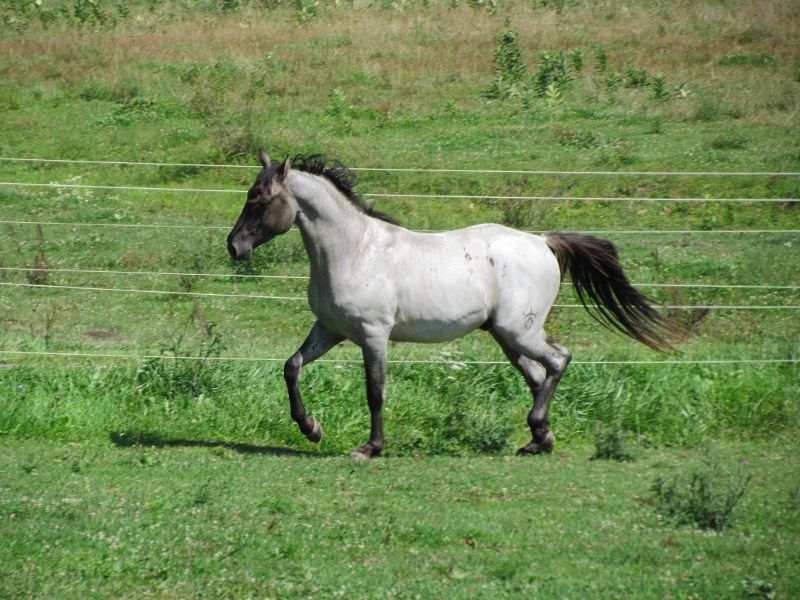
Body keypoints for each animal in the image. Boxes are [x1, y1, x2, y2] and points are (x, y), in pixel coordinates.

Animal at [227, 151, 682, 459]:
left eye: (261, 199)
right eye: (250, 195)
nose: (234, 247)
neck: (355, 251)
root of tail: (542, 241)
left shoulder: (374, 335)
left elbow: (375, 391)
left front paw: (370, 447)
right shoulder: (331, 330)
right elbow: (292, 367)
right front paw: (312, 428)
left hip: (520, 331)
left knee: (558, 359)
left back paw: (538, 433)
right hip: (506, 337)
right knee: (539, 375)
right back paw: (539, 441)